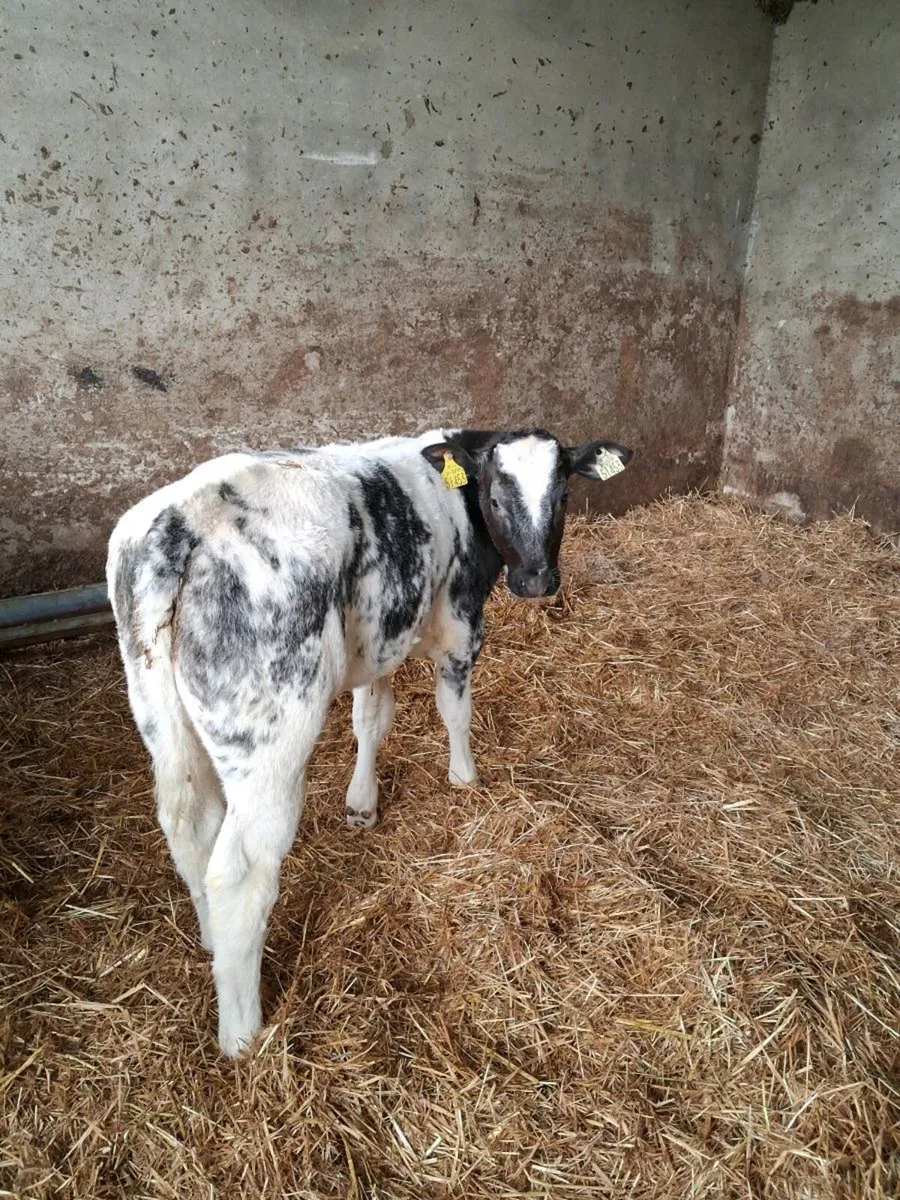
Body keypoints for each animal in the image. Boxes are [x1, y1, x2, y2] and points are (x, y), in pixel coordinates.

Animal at [107, 427, 633, 1055]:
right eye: (495, 497)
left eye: (563, 495)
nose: (535, 581)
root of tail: (180, 524)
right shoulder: (459, 623)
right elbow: (454, 711)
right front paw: (465, 779)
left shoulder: (378, 635)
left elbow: (371, 718)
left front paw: (362, 804)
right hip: (270, 738)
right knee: (240, 868)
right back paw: (242, 1032)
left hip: (163, 719)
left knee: (189, 826)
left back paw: (211, 940)